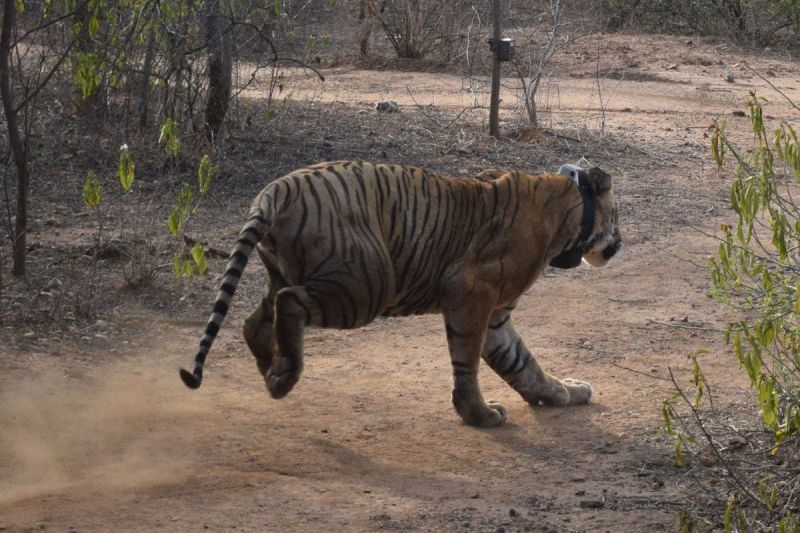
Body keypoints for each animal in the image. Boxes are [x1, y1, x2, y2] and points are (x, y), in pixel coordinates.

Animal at [180, 160, 621, 427]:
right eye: (617, 216)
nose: (620, 244)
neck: (565, 213)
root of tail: (278, 188)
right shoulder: (470, 292)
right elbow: (469, 361)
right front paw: (478, 413)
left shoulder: (497, 315)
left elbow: (524, 364)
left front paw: (565, 392)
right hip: (364, 287)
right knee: (288, 302)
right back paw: (284, 377)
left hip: (287, 272)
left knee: (254, 320)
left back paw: (271, 371)